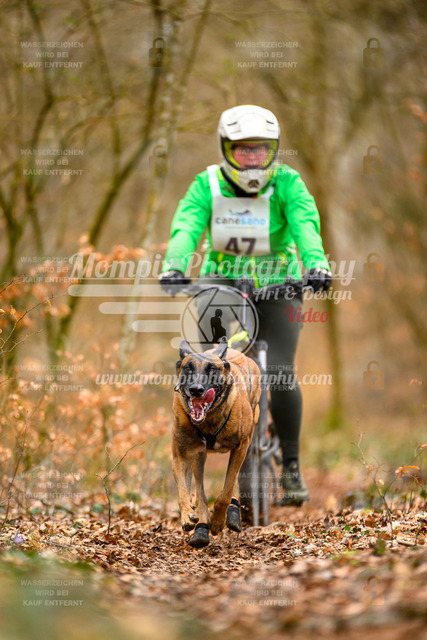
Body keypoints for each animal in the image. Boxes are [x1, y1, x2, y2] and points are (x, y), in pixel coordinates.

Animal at [172, 336, 261, 548]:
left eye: (212, 369)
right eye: (188, 368)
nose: (196, 390)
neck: (209, 420)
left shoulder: (241, 447)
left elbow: (226, 490)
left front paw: (219, 520)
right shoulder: (179, 454)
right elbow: (184, 490)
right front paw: (187, 515)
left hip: (249, 439)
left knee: (233, 479)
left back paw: (231, 513)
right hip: (198, 456)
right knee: (200, 490)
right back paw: (201, 528)